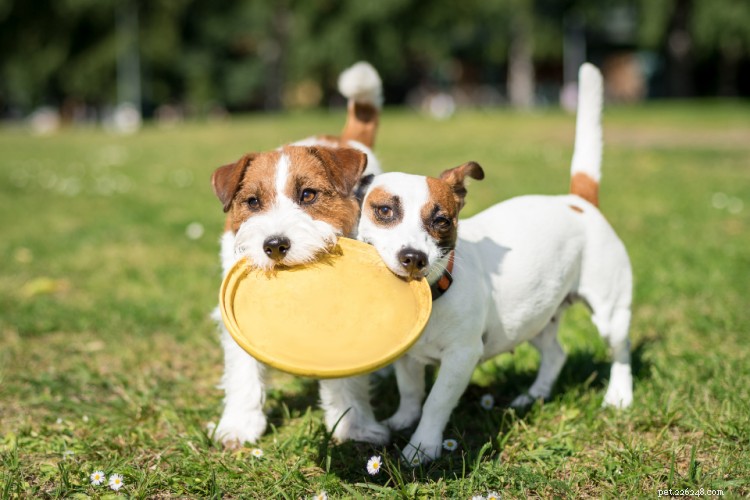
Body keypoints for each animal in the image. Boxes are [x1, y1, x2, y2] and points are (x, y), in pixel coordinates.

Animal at [209, 62, 390, 450]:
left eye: (308, 195)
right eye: (253, 202)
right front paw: (239, 426)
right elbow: (243, 372)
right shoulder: (236, 315)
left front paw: (354, 426)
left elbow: (348, 374)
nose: (275, 245)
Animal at [358, 63, 636, 464]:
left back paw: (619, 395)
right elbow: (411, 392)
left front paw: (421, 447)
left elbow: (436, 403)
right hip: (534, 316)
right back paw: (534, 394)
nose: (414, 257)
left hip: (609, 312)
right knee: (556, 354)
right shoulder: (408, 357)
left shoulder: (461, 357)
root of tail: (579, 201)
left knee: (621, 351)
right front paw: (401, 420)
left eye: (441, 221)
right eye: (383, 211)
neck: (438, 291)